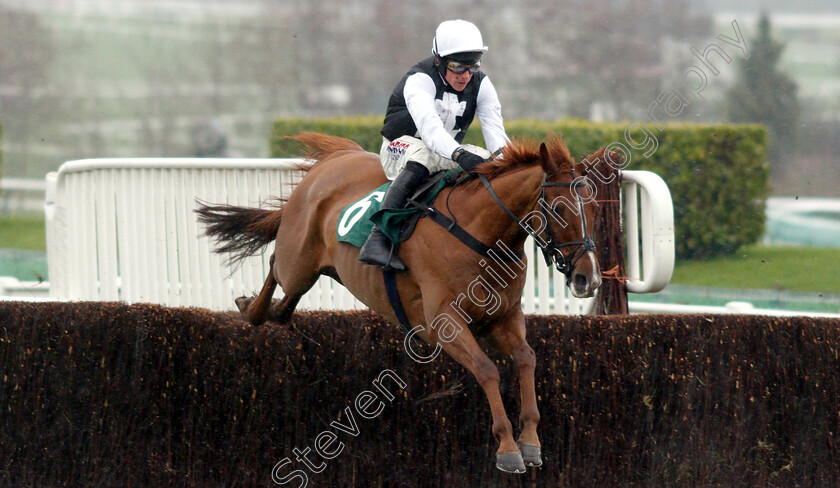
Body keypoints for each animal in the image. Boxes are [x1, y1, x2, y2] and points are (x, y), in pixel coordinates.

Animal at [195, 132, 604, 472]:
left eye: (596, 209)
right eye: (560, 209)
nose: (589, 279)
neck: (480, 233)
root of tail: (333, 159)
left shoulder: (503, 318)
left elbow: (526, 359)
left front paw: (531, 442)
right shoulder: (443, 323)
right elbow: (487, 370)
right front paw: (507, 449)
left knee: (286, 302)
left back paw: (273, 311)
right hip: (299, 260)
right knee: (275, 269)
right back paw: (250, 307)